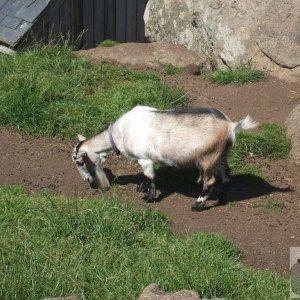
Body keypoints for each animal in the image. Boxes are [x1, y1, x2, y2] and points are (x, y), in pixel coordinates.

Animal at [71, 105, 256, 211]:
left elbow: (150, 177)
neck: (118, 134)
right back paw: (222, 198)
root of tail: (230, 126)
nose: (88, 182)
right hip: (222, 155)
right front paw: (141, 188)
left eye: (79, 161)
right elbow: (145, 177)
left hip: (207, 158)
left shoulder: (145, 159)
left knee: (209, 182)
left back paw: (197, 205)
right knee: (226, 174)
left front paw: (149, 197)